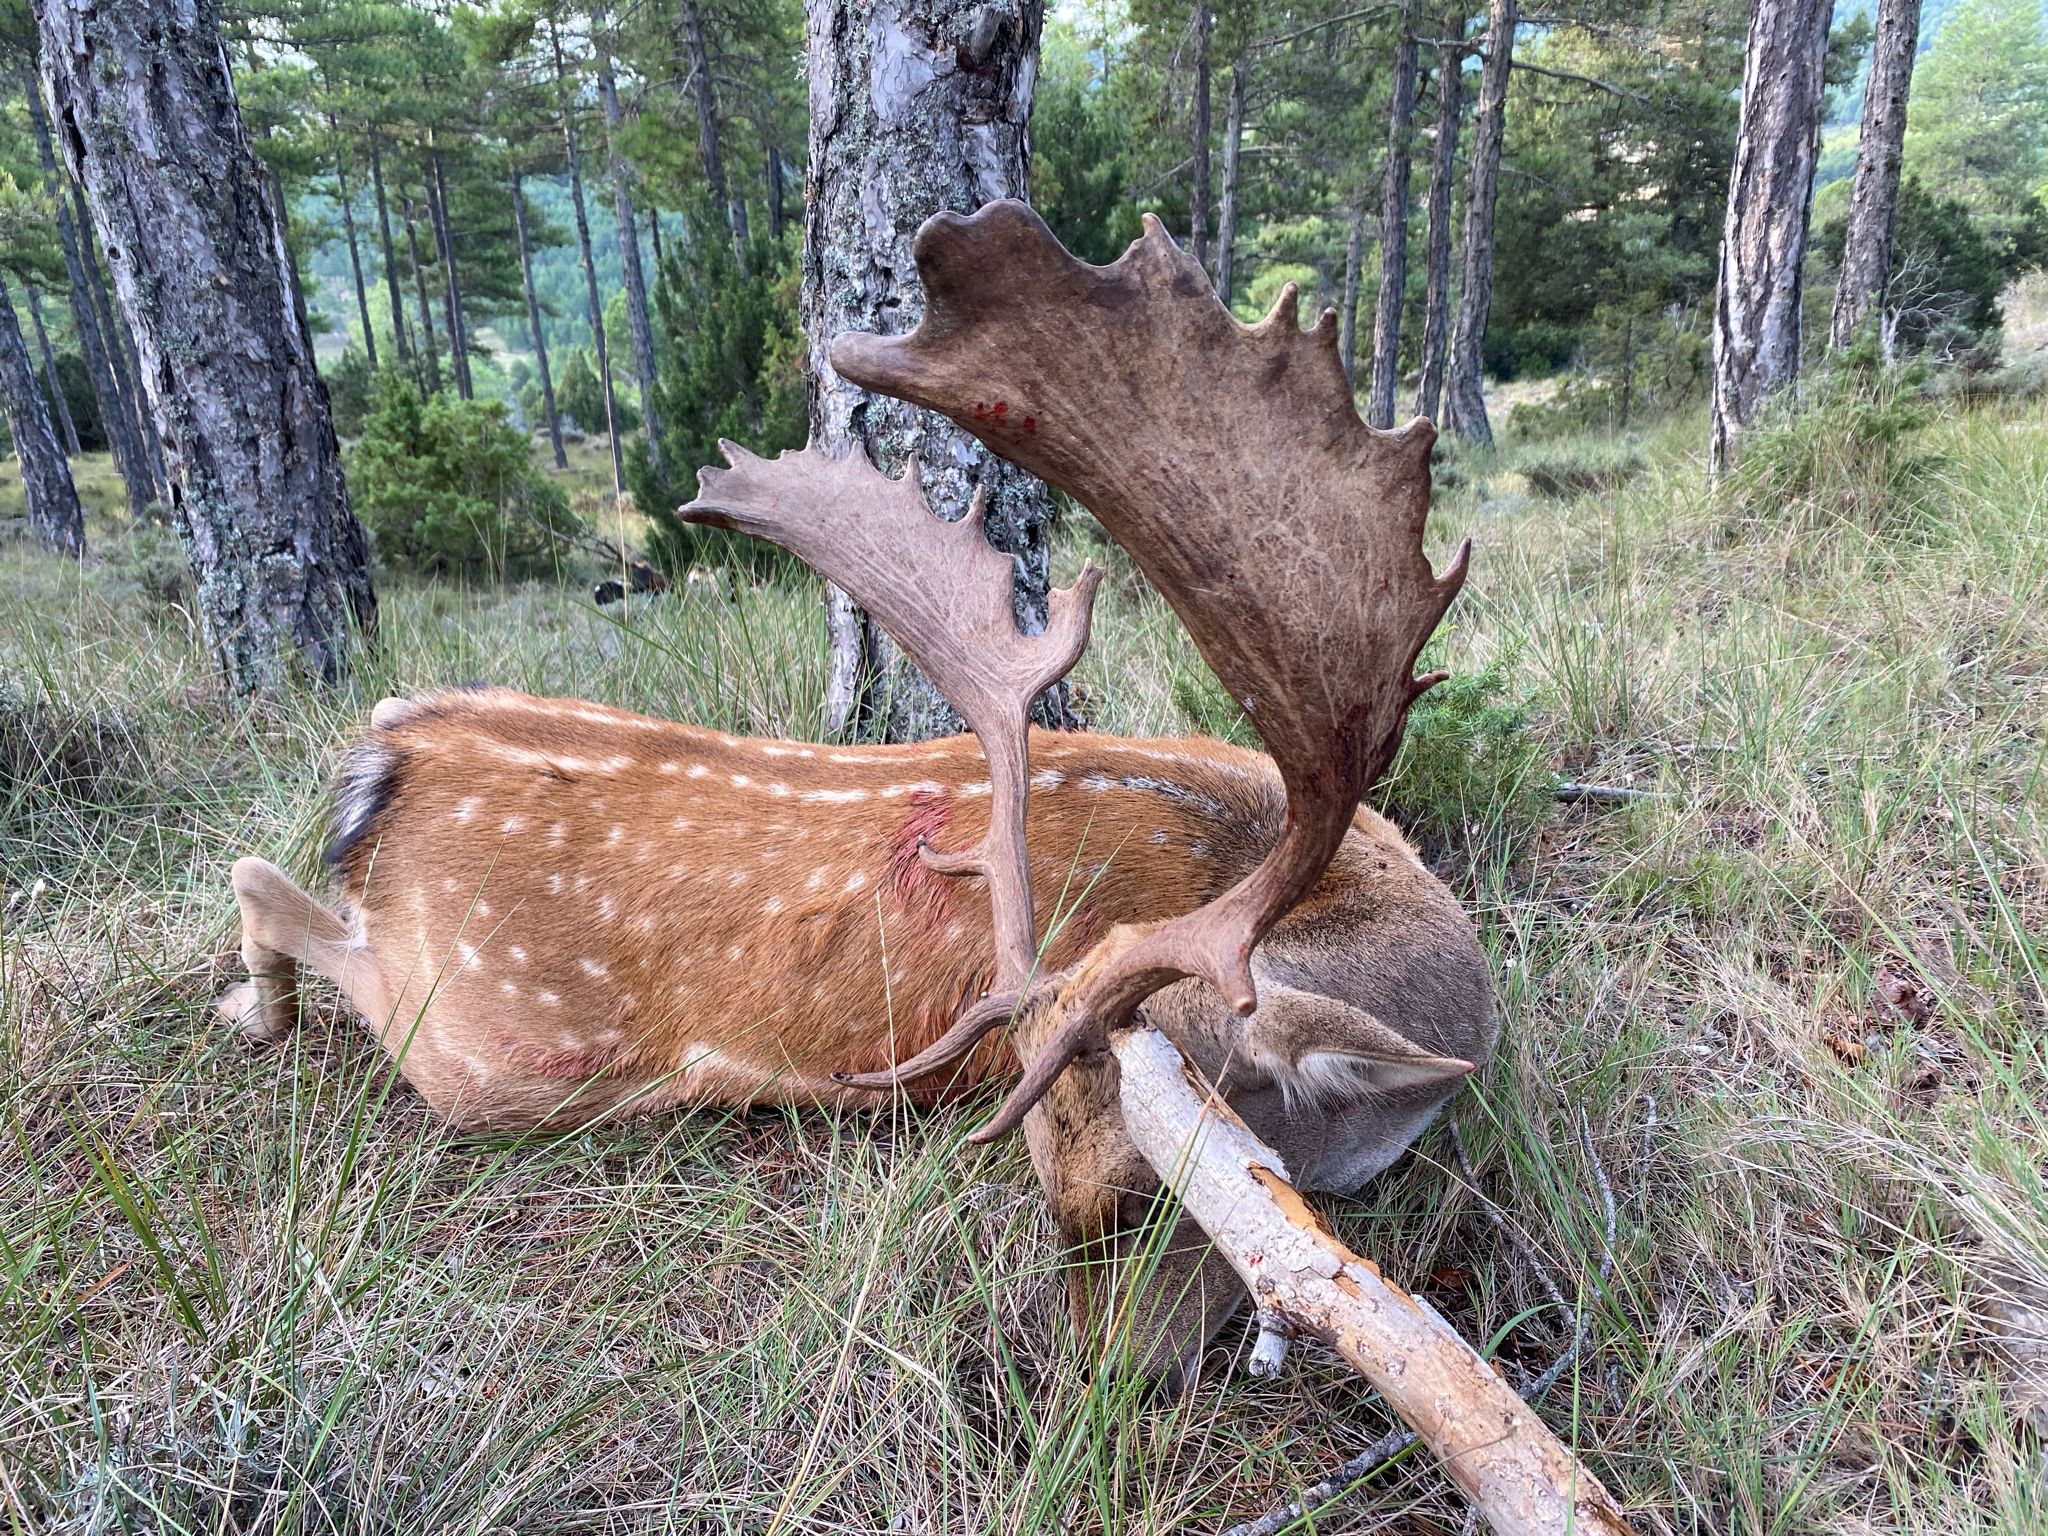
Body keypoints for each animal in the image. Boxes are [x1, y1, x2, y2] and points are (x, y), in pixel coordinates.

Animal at [216, 201, 1496, 1395]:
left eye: (1156, 1194)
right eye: (1055, 1178)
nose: (1099, 1384)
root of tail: (399, 745)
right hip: (491, 1045)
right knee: (278, 895)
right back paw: (255, 1011)